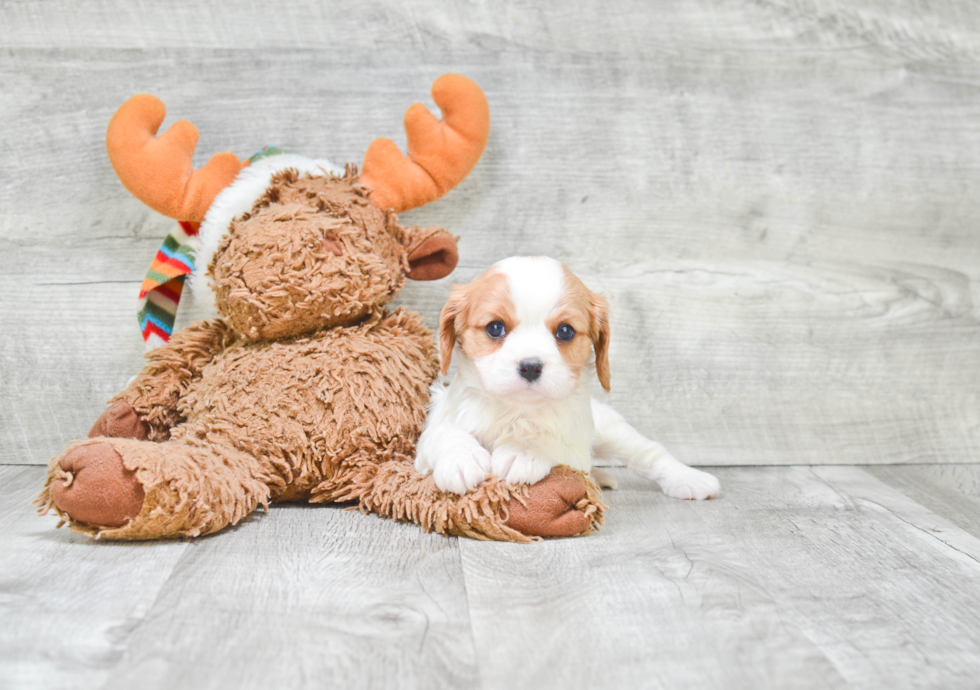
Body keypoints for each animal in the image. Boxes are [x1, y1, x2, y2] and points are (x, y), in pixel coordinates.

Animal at [414, 254, 720, 500]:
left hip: (611, 431)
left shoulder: (576, 451)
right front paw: (461, 458)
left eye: (565, 331)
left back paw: (689, 479)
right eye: (495, 328)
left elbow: (550, 441)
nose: (530, 366)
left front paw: (523, 449)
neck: (517, 411)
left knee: (650, 453)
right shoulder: (428, 440)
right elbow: (444, 434)